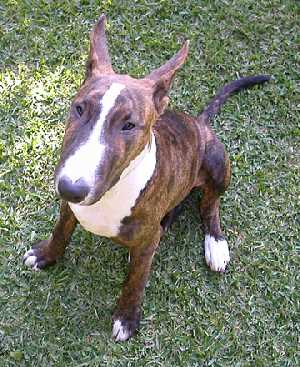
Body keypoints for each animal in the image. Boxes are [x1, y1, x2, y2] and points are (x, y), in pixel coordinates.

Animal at [23, 14, 270, 342]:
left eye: (129, 125)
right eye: (79, 108)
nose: (71, 188)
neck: (111, 193)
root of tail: (199, 123)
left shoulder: (145, 240)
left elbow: (136, 280)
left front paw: (127, 318)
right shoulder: (69, 209)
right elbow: (60, 231)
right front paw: (46, 255)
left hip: (217, 161)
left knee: (209, 204)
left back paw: (215, 243)